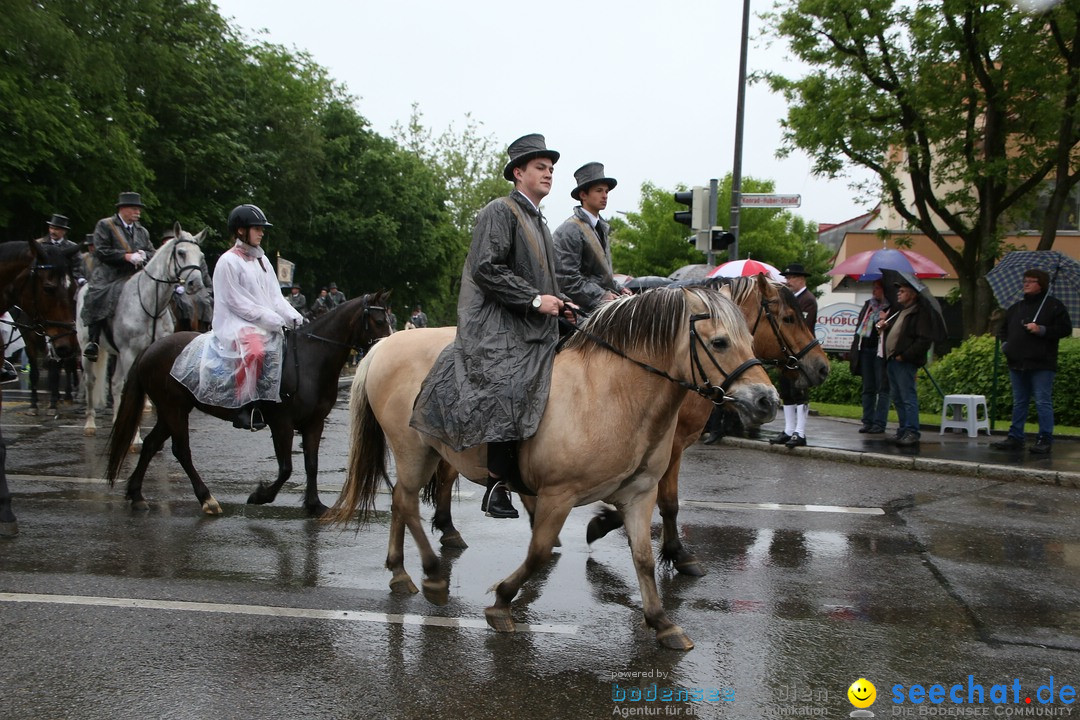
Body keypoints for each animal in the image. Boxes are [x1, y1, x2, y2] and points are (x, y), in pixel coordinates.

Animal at [104, 293, 393, 518]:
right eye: (379, 321)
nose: (390, 348)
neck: (309, 360)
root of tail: (151, 348)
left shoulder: (314, 423)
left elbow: (312, 463)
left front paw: (314, 505)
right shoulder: (281, 423)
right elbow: (286, 468)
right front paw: (260, 495)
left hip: (170, 411)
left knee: (152, 444)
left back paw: (137, 495)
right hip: (173, 409)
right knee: (181, 451)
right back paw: (207, 499)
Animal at [326, 289, 777, 651]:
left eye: (750, 338)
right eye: (719, 342)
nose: (768, 401)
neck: (612, 393)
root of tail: (385, 344)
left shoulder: (639, 494)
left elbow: (644, 559)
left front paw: (662, 622)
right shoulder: (559, 495)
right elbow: (539, 552)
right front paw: (502, 601)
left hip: (430, 452)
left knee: (400, 501)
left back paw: (400, 571)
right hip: (413, 449)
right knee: (405, 500)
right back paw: (434, 575)